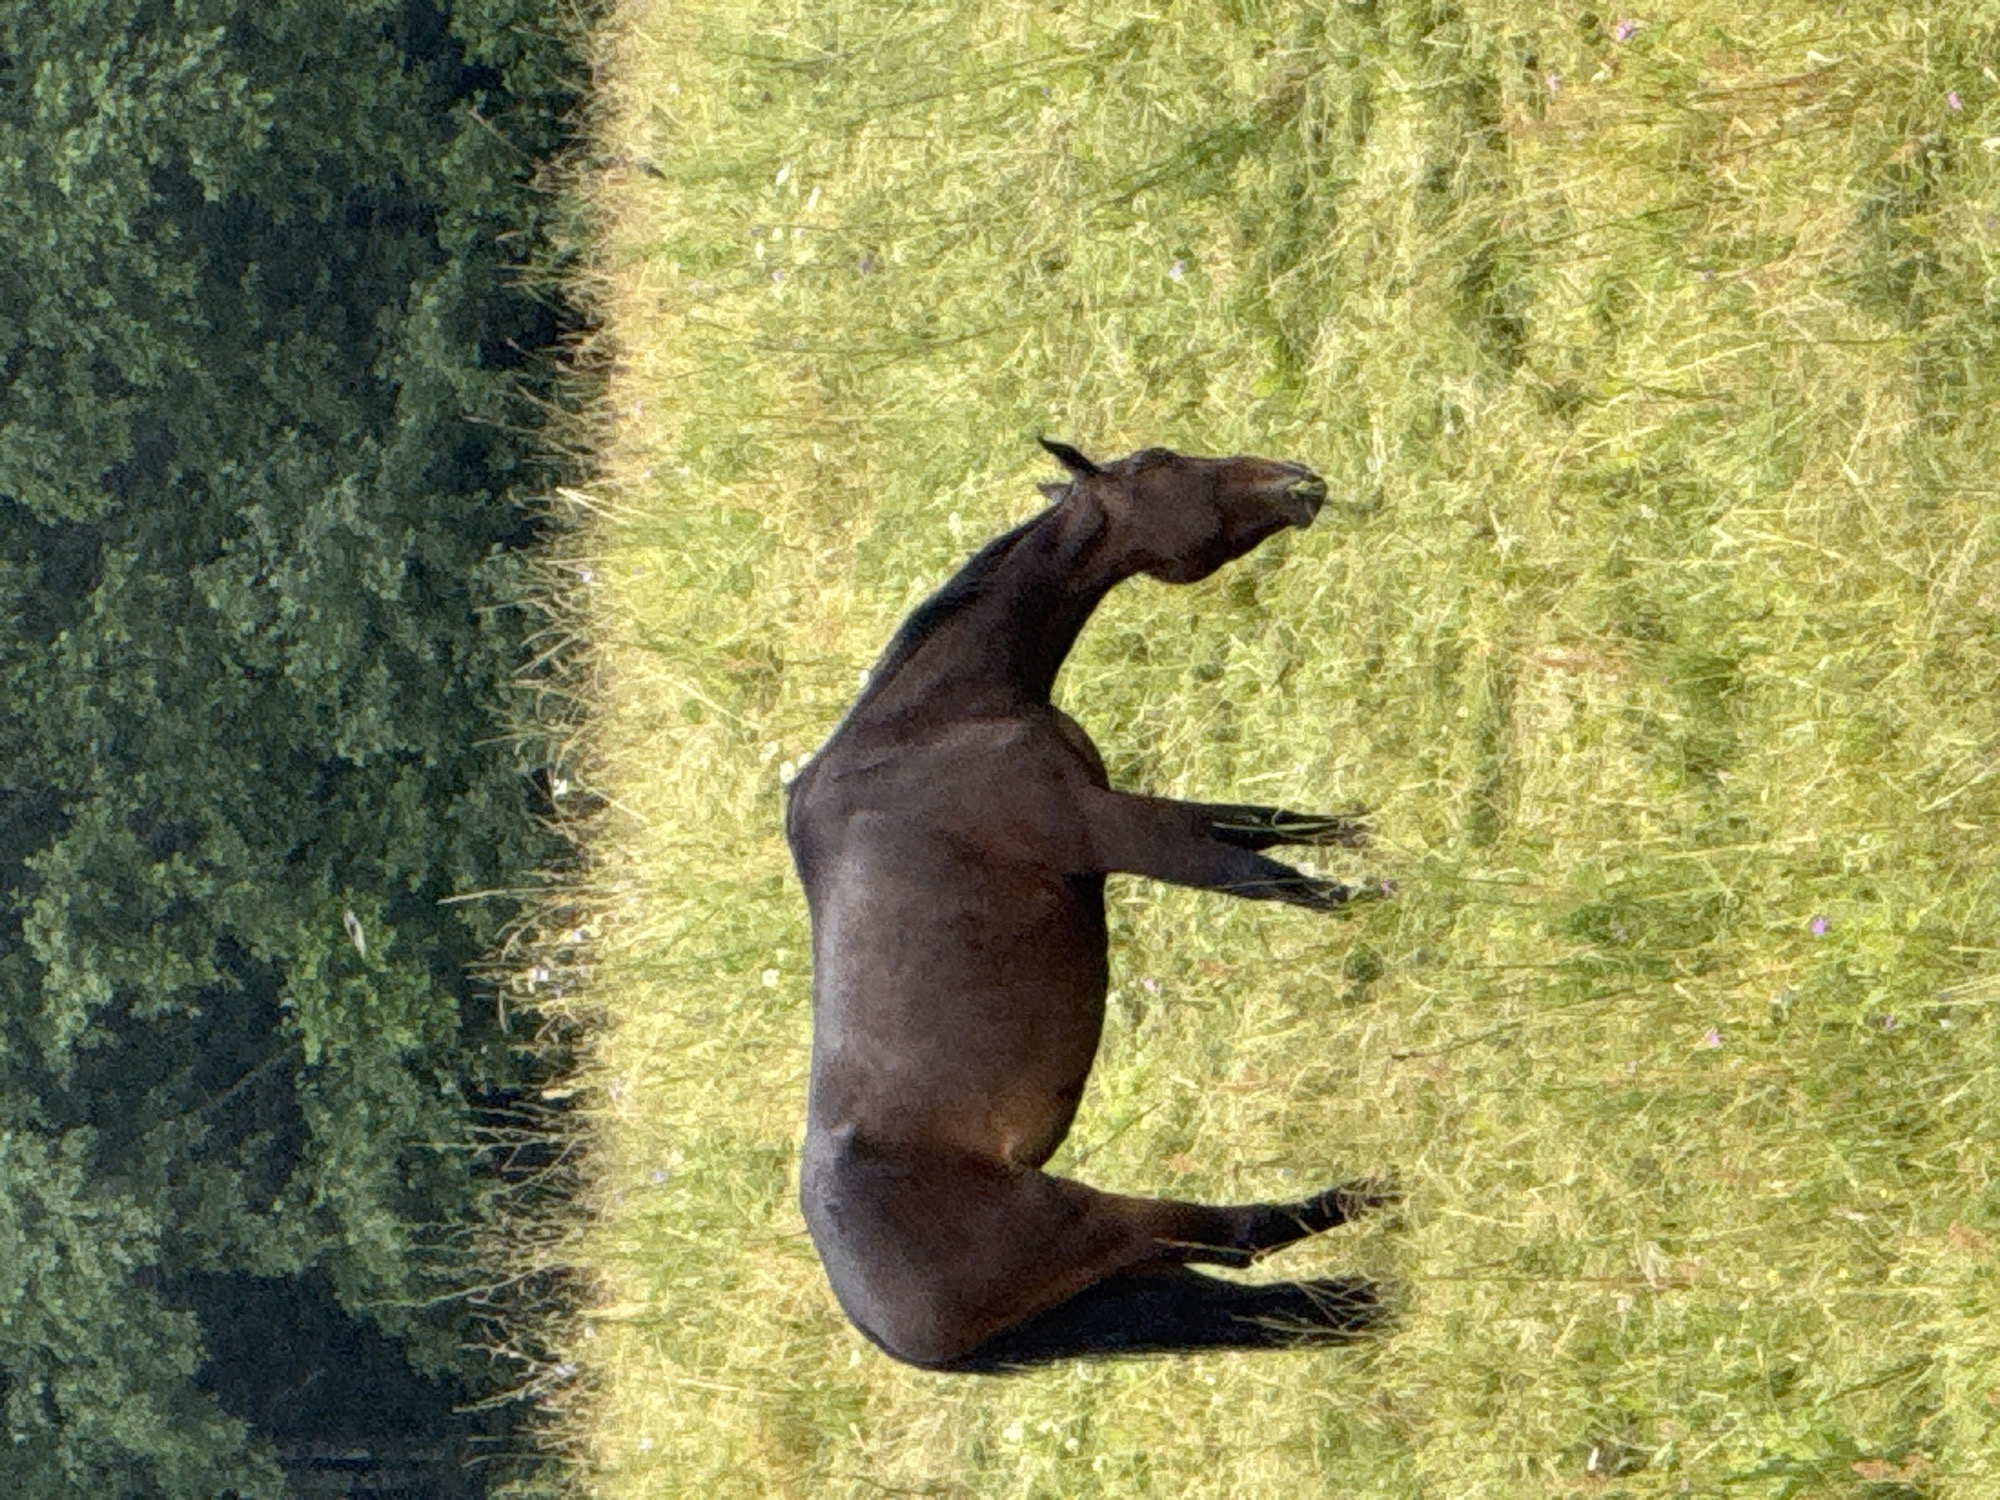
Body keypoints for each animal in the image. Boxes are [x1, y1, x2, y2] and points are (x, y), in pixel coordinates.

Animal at [784, 438, 1394, 1372]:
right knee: (1237, 1235)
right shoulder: (1107, 829)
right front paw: (1395, 905)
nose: (1298, 481)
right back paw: (1378, 1195)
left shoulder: (1122, 809)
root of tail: (886, 1329)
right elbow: (1264, 876)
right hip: (1102, 1225)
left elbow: (1267, 824)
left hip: (1119, 1284)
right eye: (1161, 464)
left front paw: (1375, 838)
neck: (930, 724)